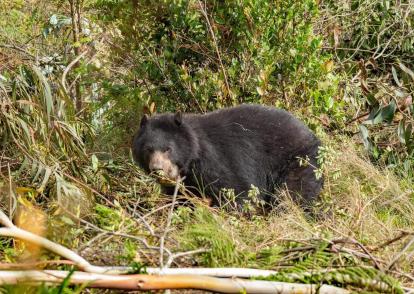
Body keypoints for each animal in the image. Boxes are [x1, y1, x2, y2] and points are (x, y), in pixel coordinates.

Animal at [133, 104, 324, 210]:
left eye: (168, 149)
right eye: (148, 149)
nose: (157, 169)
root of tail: (311, 134)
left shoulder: (216, 161)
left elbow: (237, 190)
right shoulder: (184, 183)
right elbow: (181, 199)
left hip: (298, 161)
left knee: (292, 194)